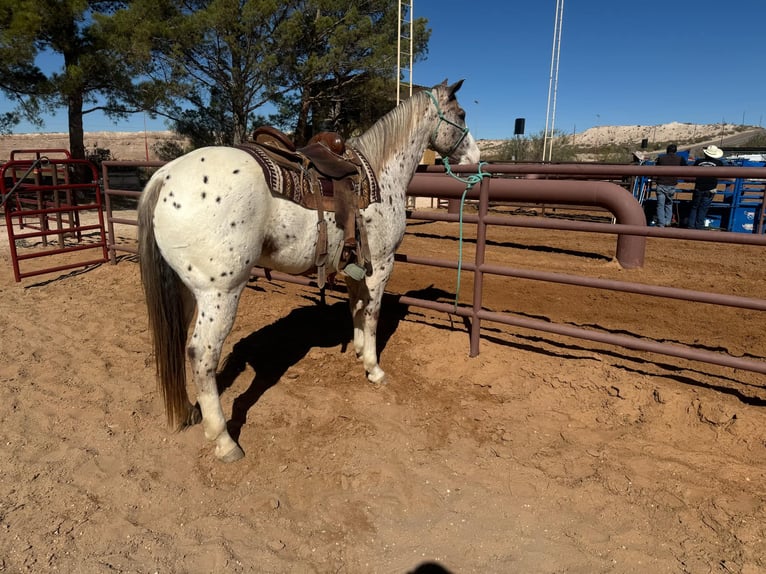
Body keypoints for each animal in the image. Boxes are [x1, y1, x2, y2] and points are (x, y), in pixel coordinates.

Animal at [137, 79, 480, 462]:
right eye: (461, 114)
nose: (476, 157)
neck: (380, 172)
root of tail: (165, 176)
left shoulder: (354, 266)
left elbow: (356, 309)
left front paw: (358, 351)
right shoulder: (381, 263)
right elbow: (373, 314)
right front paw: (373, 368)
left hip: (184, 290)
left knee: (179, 341)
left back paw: (188, 411)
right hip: (219, 294)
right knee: (201, 354)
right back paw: (225, 441)